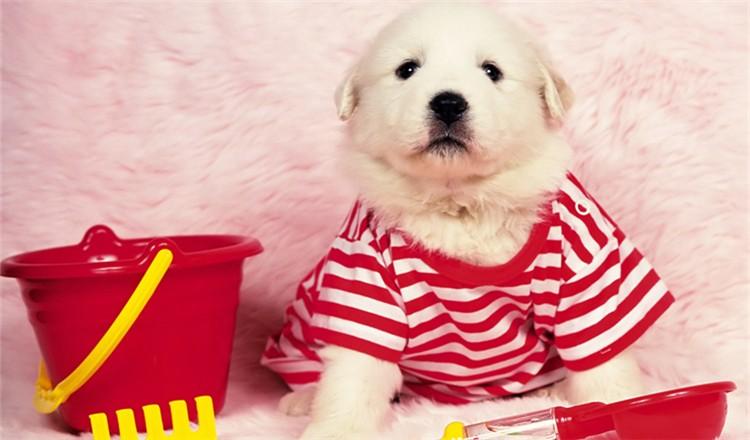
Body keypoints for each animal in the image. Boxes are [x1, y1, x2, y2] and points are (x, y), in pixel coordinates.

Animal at [261, 4, 674, 439]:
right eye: (407, 69)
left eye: (491, 70)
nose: (447, 104)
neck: (459, 202)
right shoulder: (365, 281)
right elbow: (354, 376)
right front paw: (335, 429)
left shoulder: (590, 264)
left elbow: (605, 366)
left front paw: (621, 409)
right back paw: (301, 398)